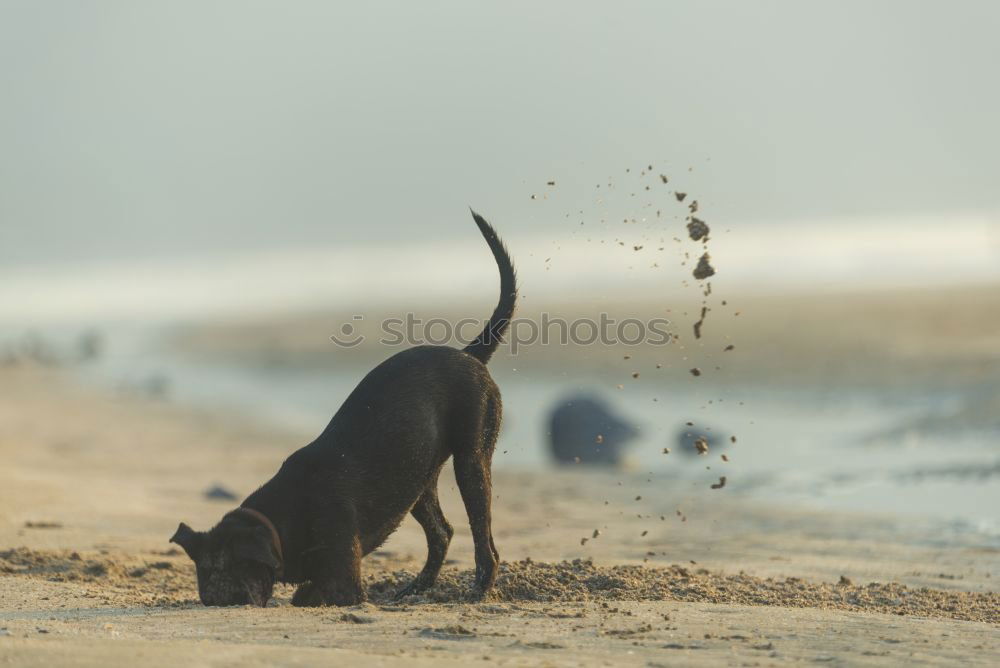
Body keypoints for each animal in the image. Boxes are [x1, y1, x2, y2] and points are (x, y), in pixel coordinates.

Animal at [170, 211, 516, 608]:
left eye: (234, 573)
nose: (221, 599)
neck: (286, 514)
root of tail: (469, 354)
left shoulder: (345, 581)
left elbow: (316, 591)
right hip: (417, 481)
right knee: (442, 533)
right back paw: (414, 589)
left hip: (471, 461)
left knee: (484, 542)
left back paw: (478, 591)